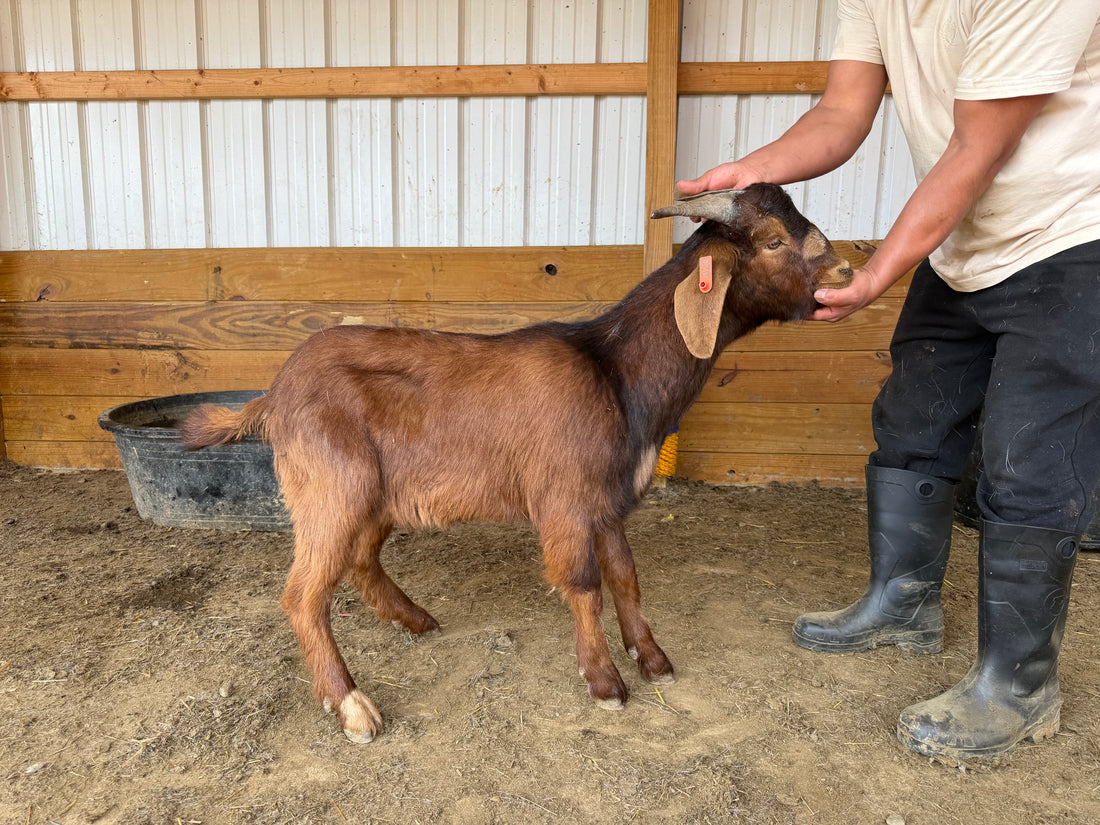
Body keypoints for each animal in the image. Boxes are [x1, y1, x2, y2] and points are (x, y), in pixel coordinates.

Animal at [180, 183, 852, 743]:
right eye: (773, 241)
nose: (846, 270)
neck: (614, 371)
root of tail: (273, 393)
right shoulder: (565, 500)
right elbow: (583, 583)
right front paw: (604, 682)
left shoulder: (607, 503)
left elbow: (626, 578)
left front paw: (653, 659)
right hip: (333, 487)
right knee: (303, 594)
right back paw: (352, 706)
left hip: (373, 495)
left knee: (360, 561)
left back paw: (415, 620)